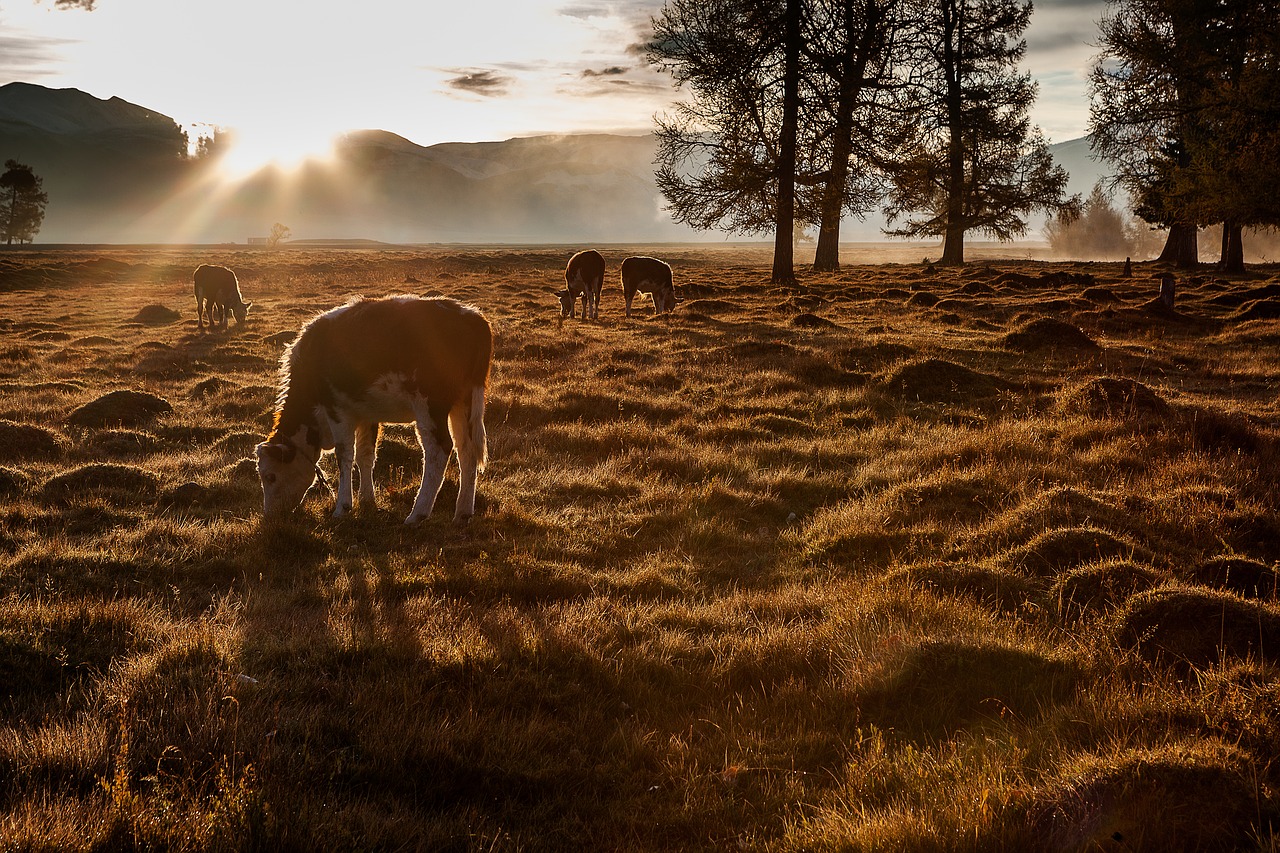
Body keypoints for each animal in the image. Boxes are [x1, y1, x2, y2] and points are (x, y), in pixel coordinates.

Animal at [253, 294, 488, 525]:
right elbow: (365, 455)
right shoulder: (367, 413)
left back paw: (417, 513)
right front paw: (367, 500)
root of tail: (471, 317)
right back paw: (462, 513)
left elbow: (344, 454)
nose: (270, 516)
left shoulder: (336, 409)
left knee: (438, 450)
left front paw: (342, 507)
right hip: (464, 403)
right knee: (466, 450)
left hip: (429, 405)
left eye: (270, 476)